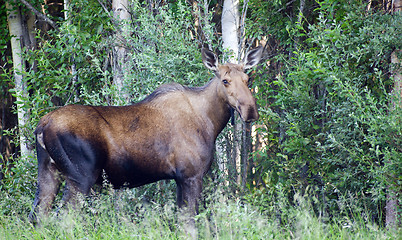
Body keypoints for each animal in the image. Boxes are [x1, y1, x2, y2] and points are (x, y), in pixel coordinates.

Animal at [30, 47, 264, 221]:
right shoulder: (191, 175)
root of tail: (42, 126)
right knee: (64, 219)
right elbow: (192, 221)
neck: (211, 122)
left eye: (247, 78)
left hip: (49, 172)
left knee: (38, 217)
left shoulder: (180, 178)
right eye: (225, 80)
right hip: (80, 177)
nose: (250, 110)